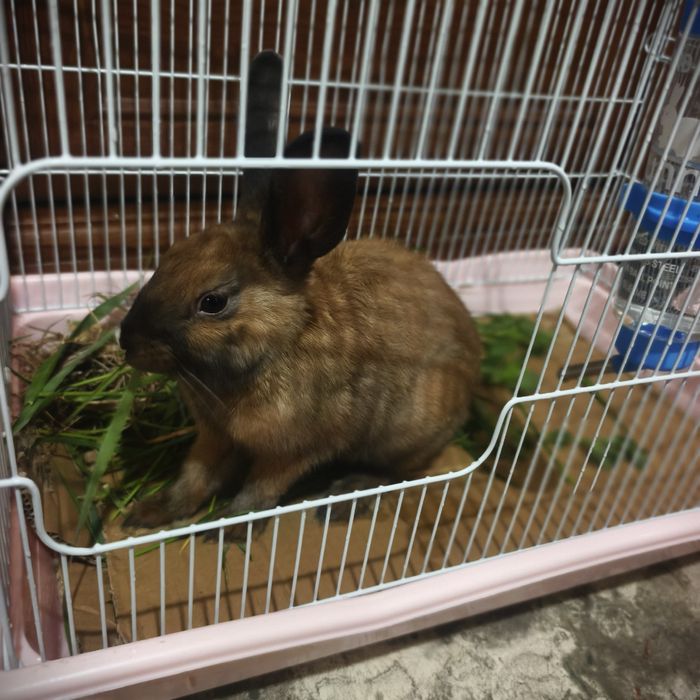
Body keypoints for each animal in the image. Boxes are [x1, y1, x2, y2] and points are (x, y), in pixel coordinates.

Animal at [120, 51, 481, 538]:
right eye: (169, 255)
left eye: (213, 302)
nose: (126, 340)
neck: (279, 341)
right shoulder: (214, 437)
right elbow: (194, 477)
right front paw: (150, 512)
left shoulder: (293, 450)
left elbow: (259, 491)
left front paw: (226, 527)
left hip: (404, 434)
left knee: (397, 472)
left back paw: (346, 495)